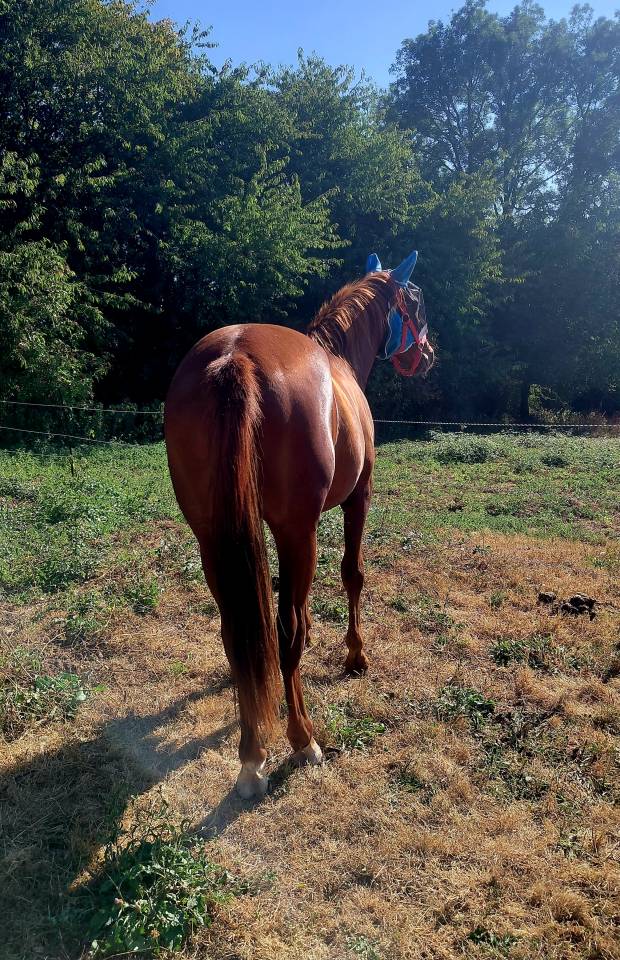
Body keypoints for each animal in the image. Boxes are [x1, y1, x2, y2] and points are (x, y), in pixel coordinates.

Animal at [164, 249, 435, 798]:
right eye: (416, 301)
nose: (429, 354)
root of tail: (236, 358)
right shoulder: (356, 500)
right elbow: (352, 576)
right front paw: (355, 655)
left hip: (213, 539)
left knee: (237, 634)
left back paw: (252, 750)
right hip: (296, 531)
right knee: (281, 632)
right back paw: (301, 739)